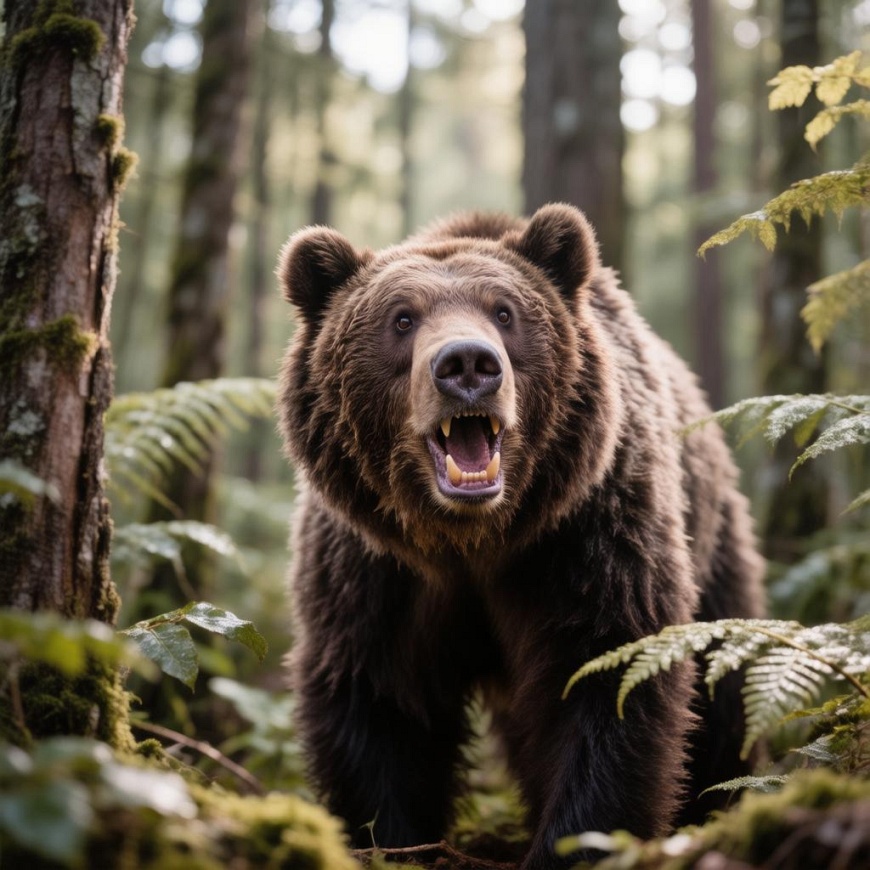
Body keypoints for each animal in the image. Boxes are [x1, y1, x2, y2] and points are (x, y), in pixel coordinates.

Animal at [276, 204, 765, 869]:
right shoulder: (372, 572)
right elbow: (376, 700)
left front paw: (574, 841)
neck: (472, 541)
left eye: (504, 312)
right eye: (401, 318)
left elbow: (604, 677)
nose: (467, 365)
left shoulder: (587, 539)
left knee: (723, 695)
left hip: (711, 544)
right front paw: (395, 840)